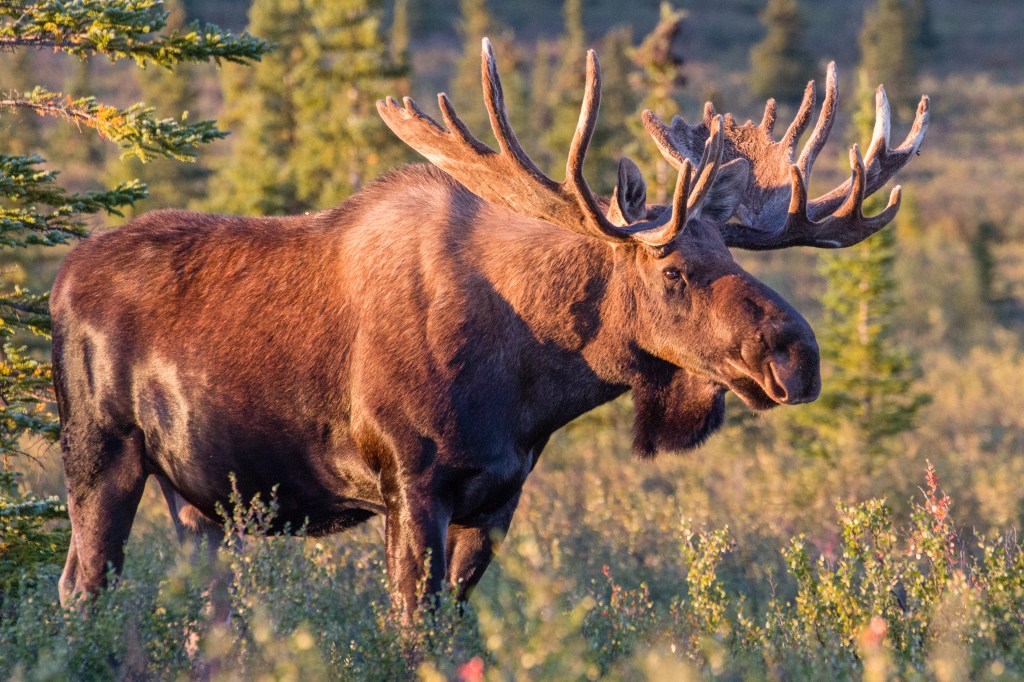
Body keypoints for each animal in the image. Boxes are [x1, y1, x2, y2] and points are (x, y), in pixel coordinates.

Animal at [52, 39, 928, 621]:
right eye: (674, 270)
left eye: (731, 253)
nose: (798, 355)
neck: (529, 384)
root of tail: (57, 283)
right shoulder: (412, 485)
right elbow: (410, 626)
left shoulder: (497, 500)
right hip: (102, 454)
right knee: (81, 587)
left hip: (199, 497)